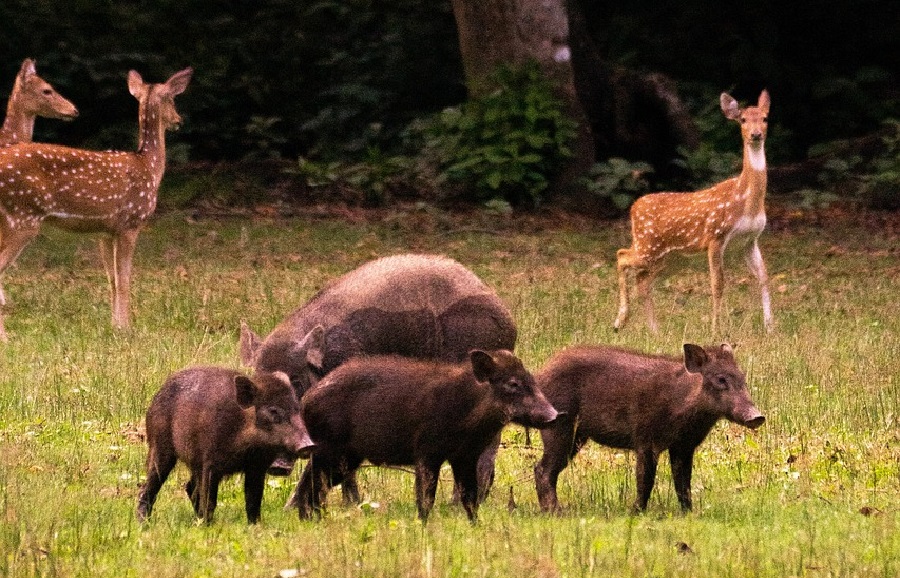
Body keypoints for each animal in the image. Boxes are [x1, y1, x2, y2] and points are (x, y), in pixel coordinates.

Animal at [0, 67, 193, 338]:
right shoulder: (131, 223)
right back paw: (6, 337)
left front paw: (115, 326)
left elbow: (111, 280)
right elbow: (124, 280)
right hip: (23, 216)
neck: (149, 165)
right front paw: (127, 329)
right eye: (173, 100)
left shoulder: (105, 231)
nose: (179, 121)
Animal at [616, 90, 776, 332]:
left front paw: (770, 328)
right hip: (648, 246)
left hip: (668, 257)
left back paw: (655, 331)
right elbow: (718, 284)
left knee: (642, 280)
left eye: (765, 118)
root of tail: (634, 207)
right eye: (743, 119)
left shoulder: (750, 239)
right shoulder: (716, 236)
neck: (746, 201)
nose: (756, 135)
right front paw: (716, 329)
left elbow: (764, 277)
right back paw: (620, 320)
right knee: (621, 257)